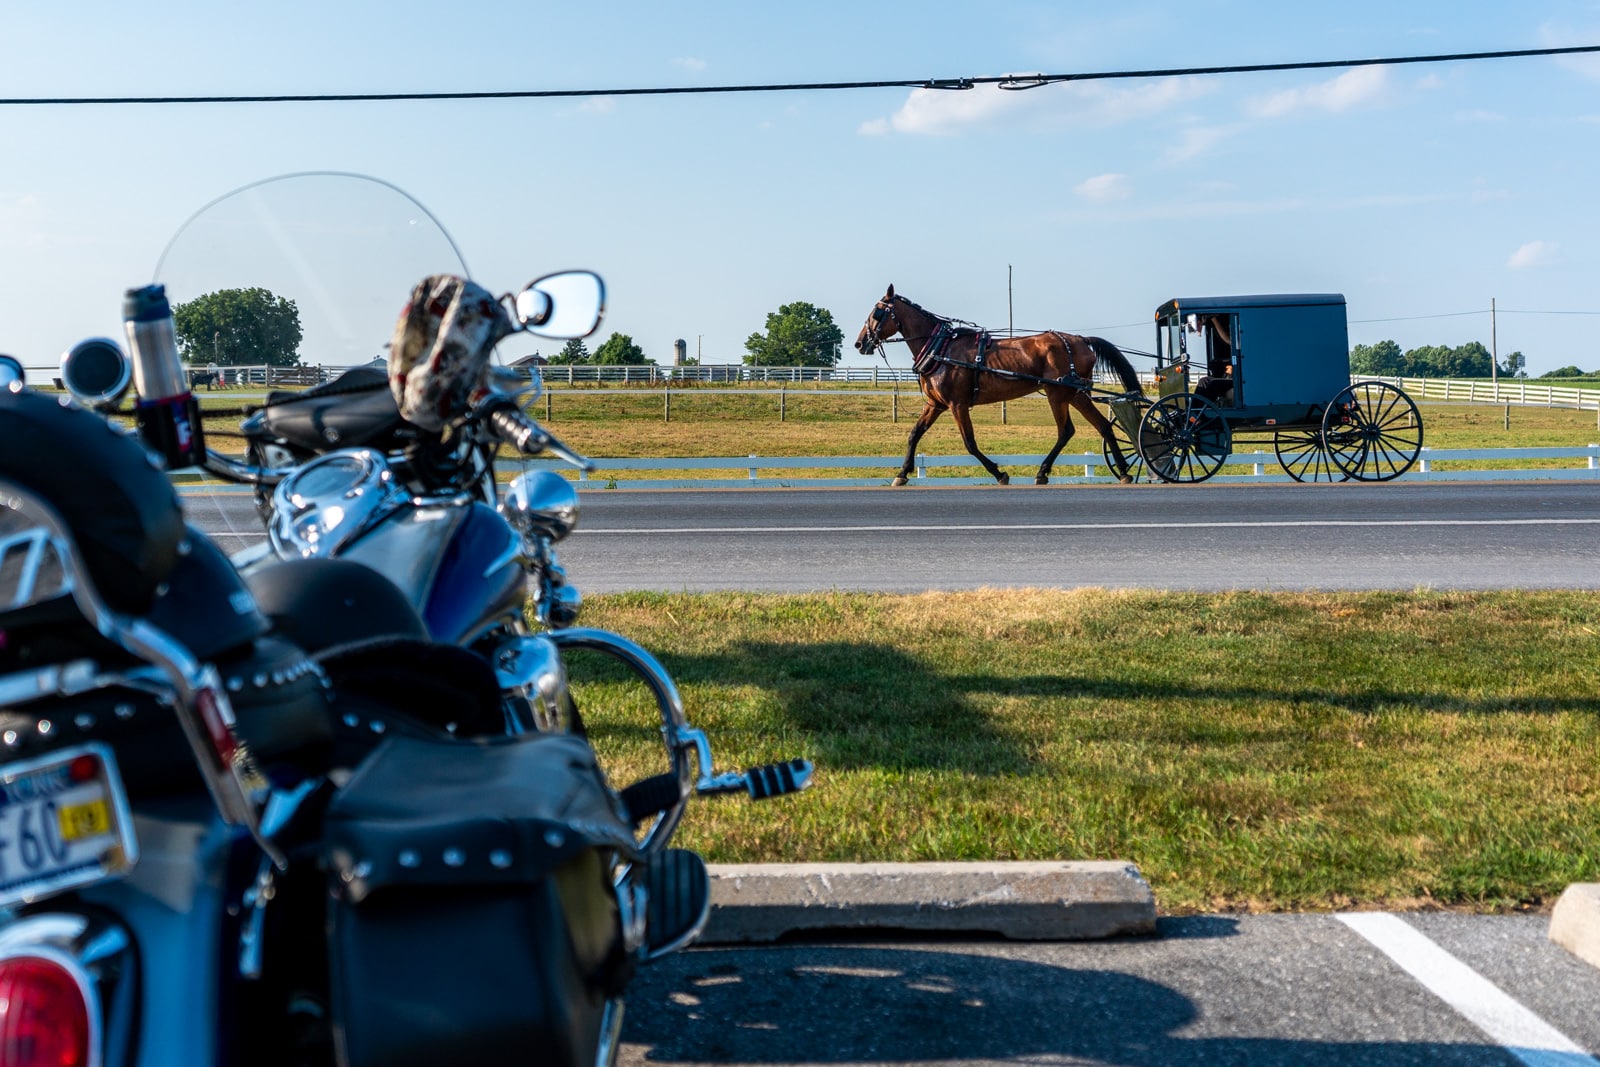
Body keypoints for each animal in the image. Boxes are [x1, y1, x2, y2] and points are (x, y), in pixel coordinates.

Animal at [857, 283, 1145, 483]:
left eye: (877, 313)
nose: (860, 343)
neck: (941, 348)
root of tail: (1081, 340)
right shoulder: (936, 404)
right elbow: (914, 434)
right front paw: (902, 473)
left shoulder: (957, 404)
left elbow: (970, 443)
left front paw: (999, 473)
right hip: (1075, 393)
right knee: (1103, 426)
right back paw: (1123, 471)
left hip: (1057, 393)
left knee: (1066, 431)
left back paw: (1043, 472)